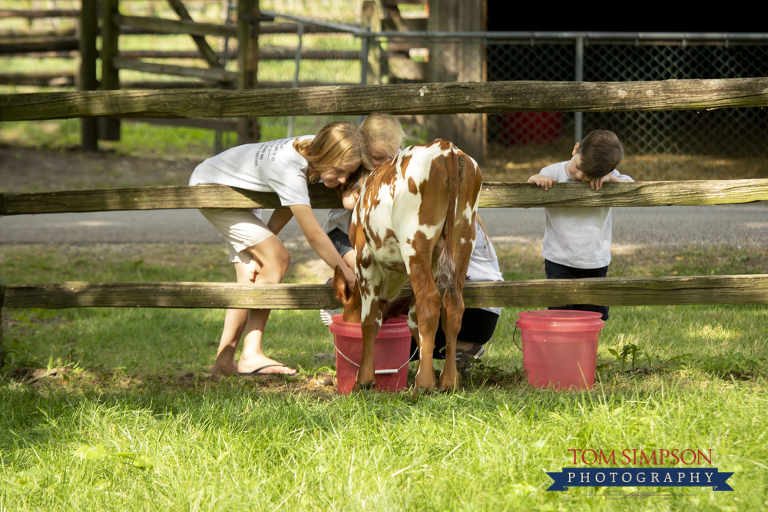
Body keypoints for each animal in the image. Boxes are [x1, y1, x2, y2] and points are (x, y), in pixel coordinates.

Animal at [332, 140, 484, 392]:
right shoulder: (433, 267)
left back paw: (424, 384)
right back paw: (448, 381)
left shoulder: (364, 259)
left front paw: (364, 379)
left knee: (430, 301)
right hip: (463, 241)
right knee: (452, 305)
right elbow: (413, 318)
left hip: (415, 242)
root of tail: (447, 149)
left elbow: (370, 320)